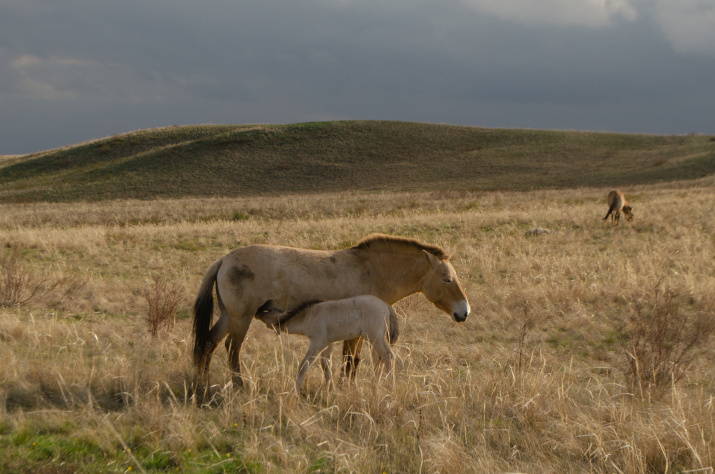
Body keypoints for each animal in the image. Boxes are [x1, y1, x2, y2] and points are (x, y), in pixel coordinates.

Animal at [255, 296, 400, 392]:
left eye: (267, 313)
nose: (257, 311)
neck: (309, 315)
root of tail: (386, 306)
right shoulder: (328, 344)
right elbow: (326, 365)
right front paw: (331, 390)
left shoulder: (318, 342)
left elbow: (303, 365)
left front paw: (295, 390)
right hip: (373, 340)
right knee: (379, 360)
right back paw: (374, 387)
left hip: (375, 337)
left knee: (388, 356)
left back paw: (390, 389)